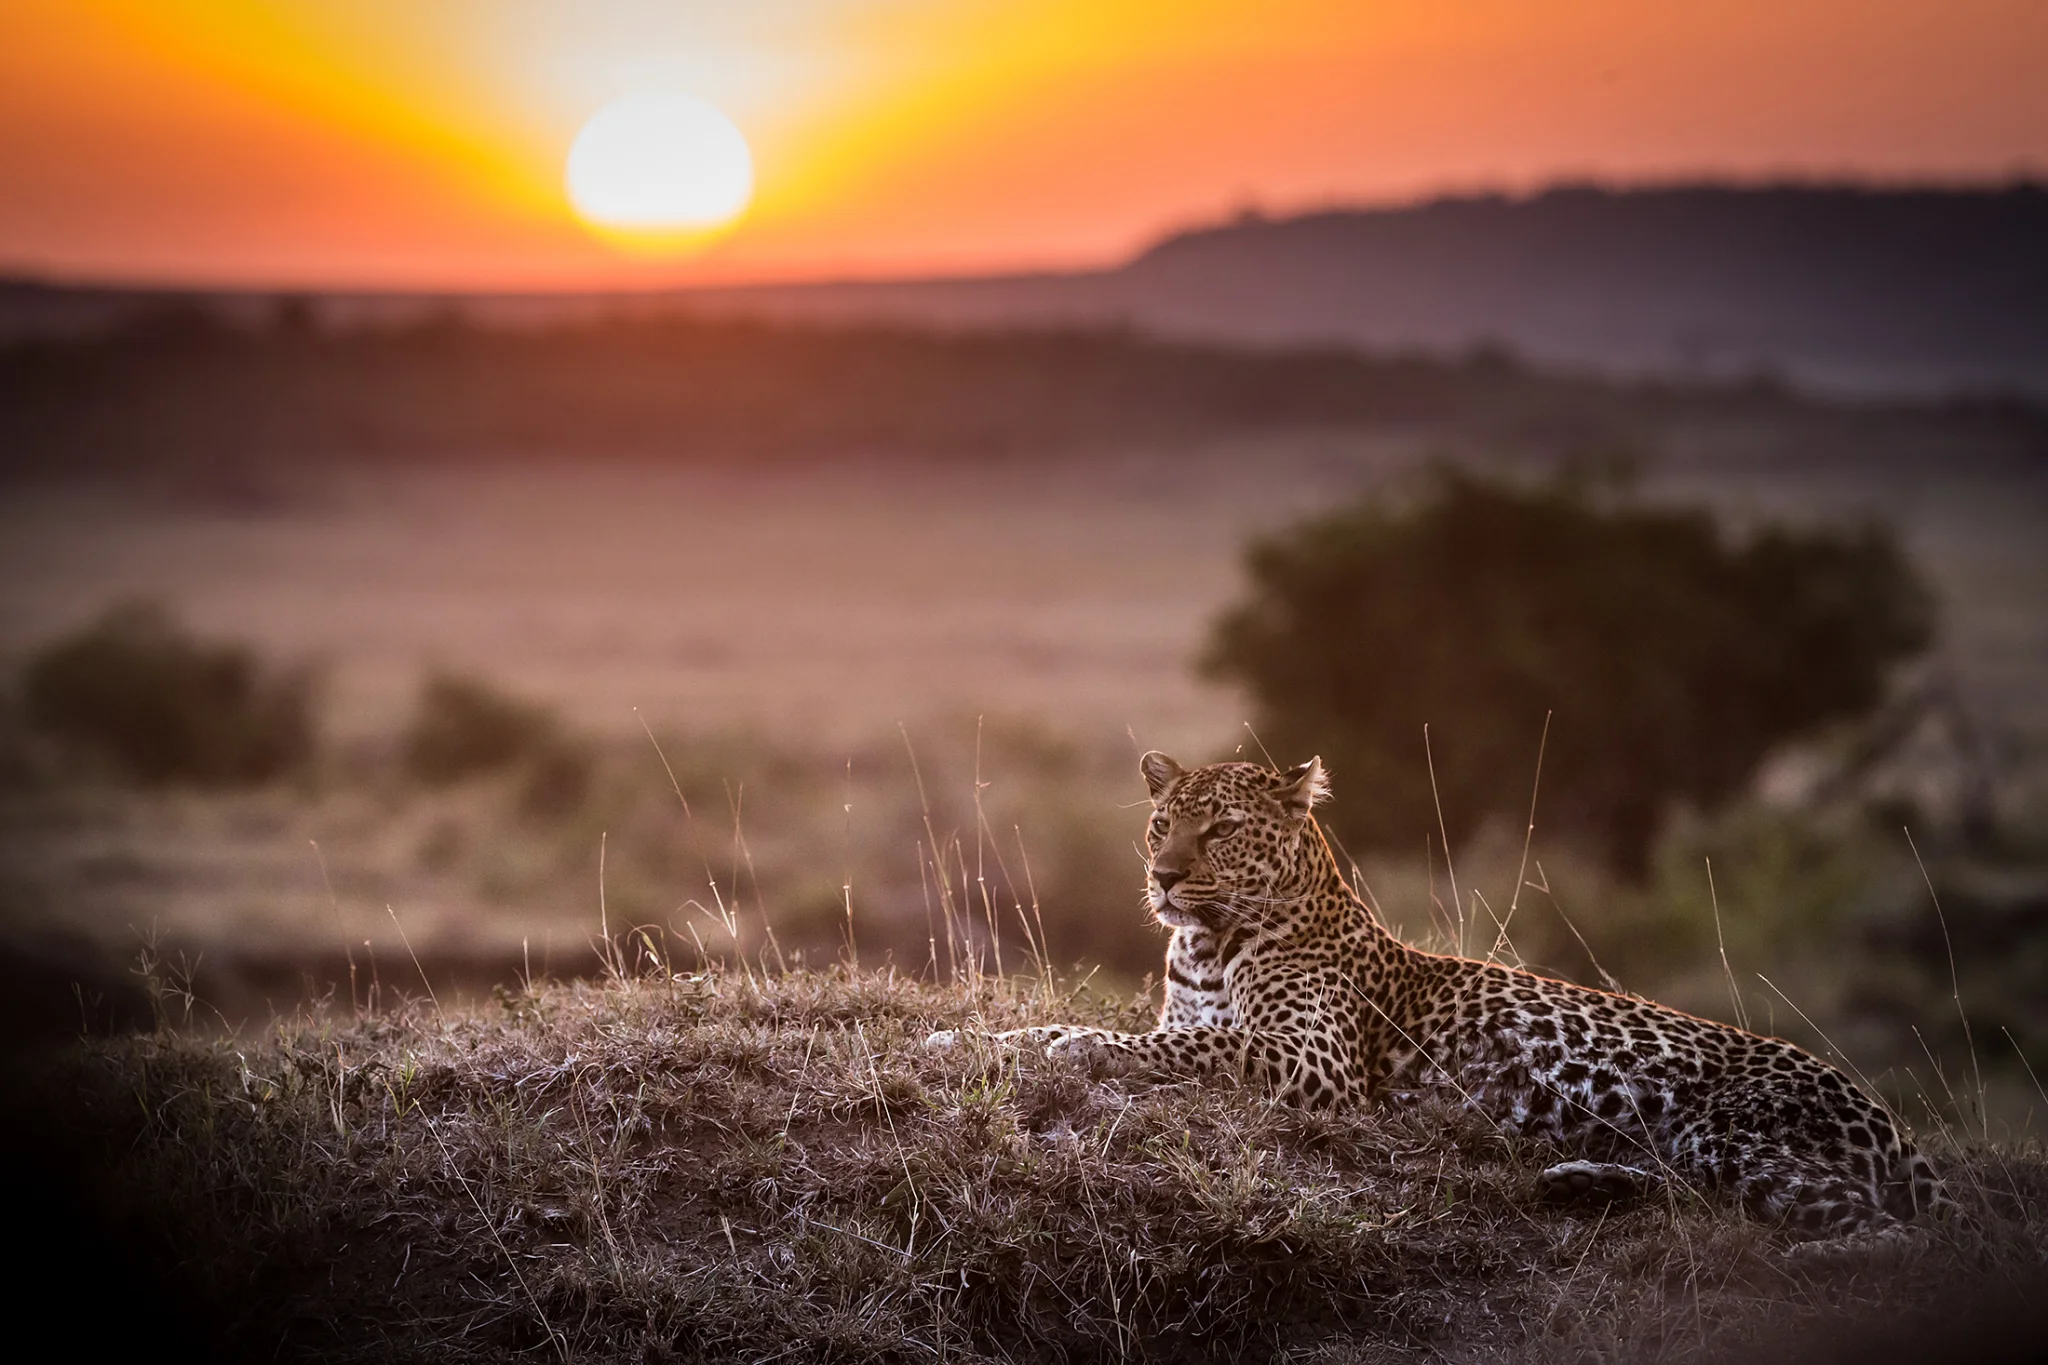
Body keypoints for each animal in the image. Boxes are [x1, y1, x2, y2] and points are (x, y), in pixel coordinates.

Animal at [928, 751, 1952, 1245]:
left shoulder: (1312, 1062)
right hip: (1699, 1146)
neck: (1209, 942)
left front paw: (1071, 1050)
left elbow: (1172, 1046)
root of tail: (1883, 1113)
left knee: (1893, 1234)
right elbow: (1067, 1022)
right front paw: (959, 1041)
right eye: (1160, 821)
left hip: (1737, 1130)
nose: (1163, 874)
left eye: (1218, 828)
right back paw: (1581, 1180)